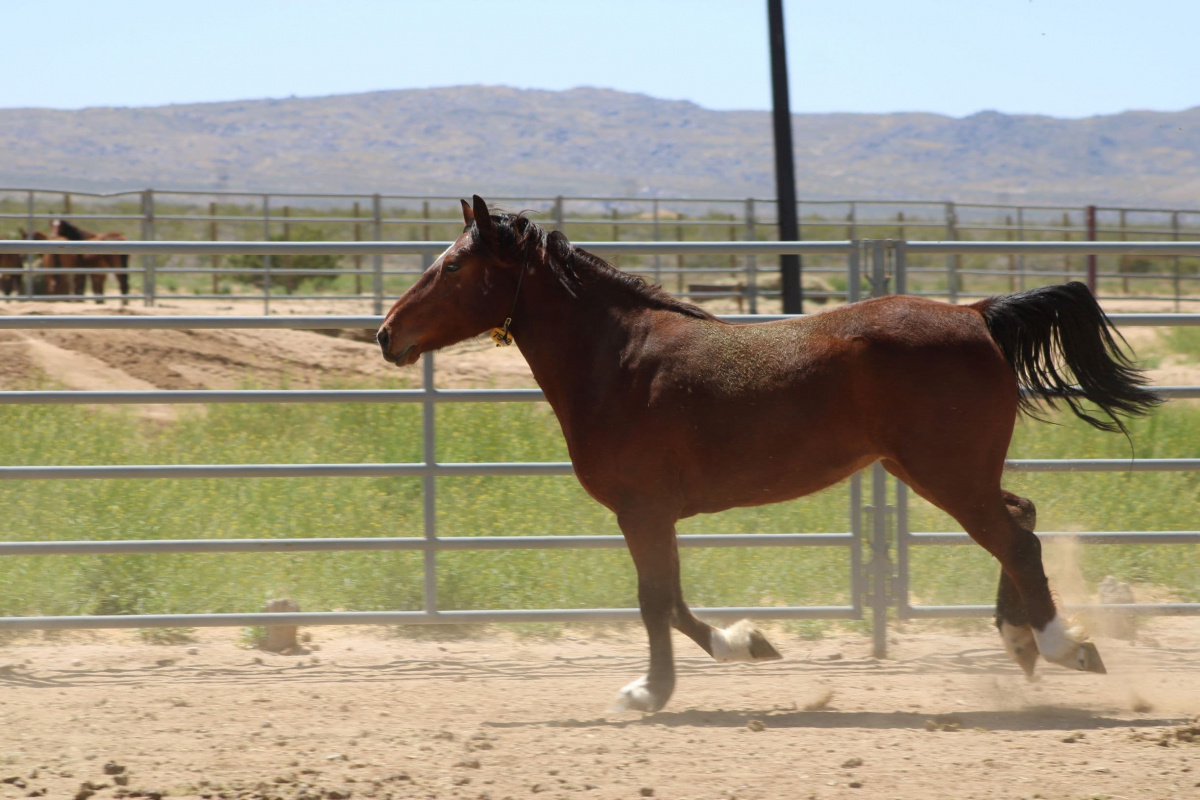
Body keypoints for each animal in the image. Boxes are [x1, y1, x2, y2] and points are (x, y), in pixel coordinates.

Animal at [376, 196, 1161, 710]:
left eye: (452, 267)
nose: (387, 334)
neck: (619, 359)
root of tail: (975, 314)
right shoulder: (653, 515)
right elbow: (676, 600)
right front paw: (746, 643)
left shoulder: (641, 510)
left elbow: (654, 601)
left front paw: (650, 692)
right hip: (944, 472)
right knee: (1020, 518)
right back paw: (1020, 642)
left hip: (947, 475)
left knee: (1016, 540)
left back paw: (1064, 646)